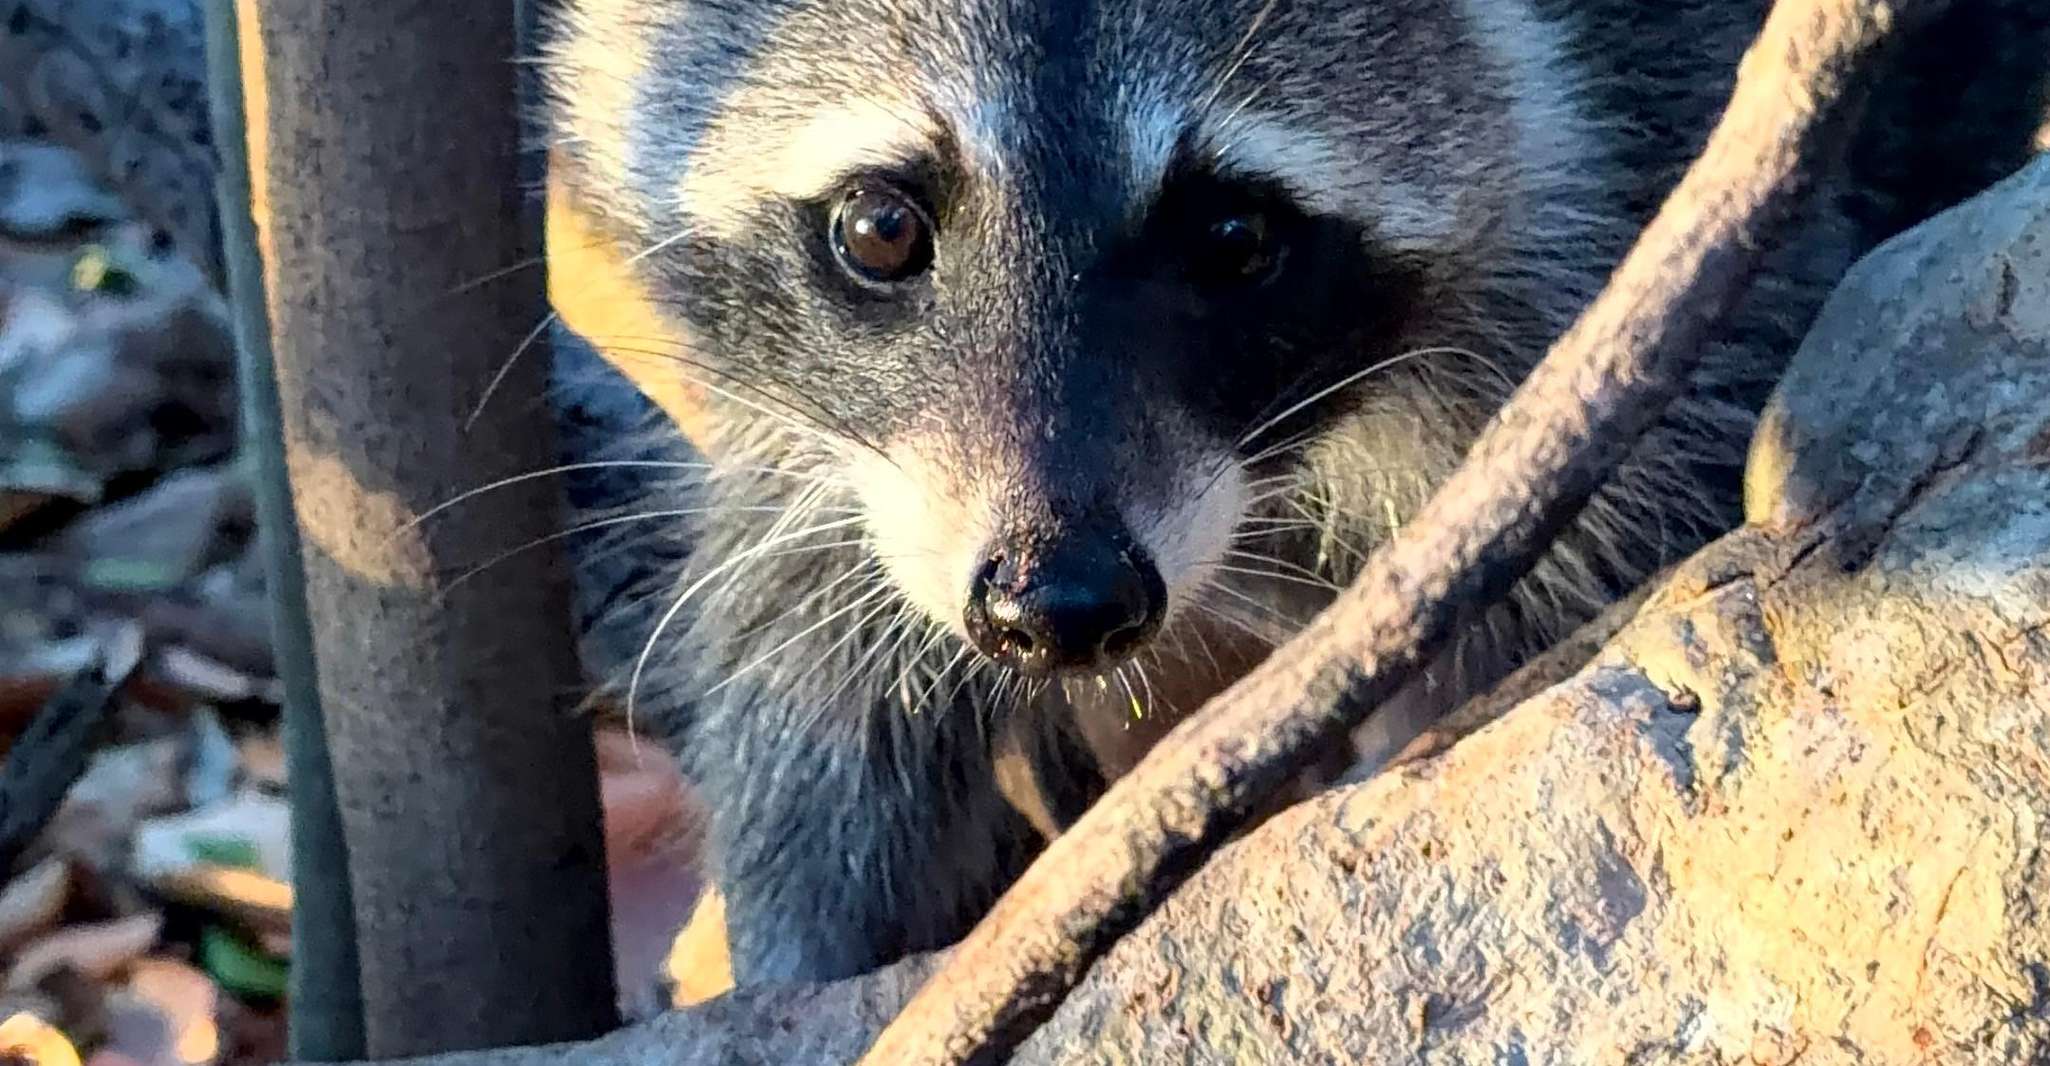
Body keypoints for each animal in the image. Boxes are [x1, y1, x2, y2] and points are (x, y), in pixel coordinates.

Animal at [536, 0, 2050, 988]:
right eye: (880, 226)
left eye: (1233, 236)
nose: (1061, 602)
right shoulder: (853, 446)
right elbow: (810, 641)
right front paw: (812, 931)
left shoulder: (1659, 201)